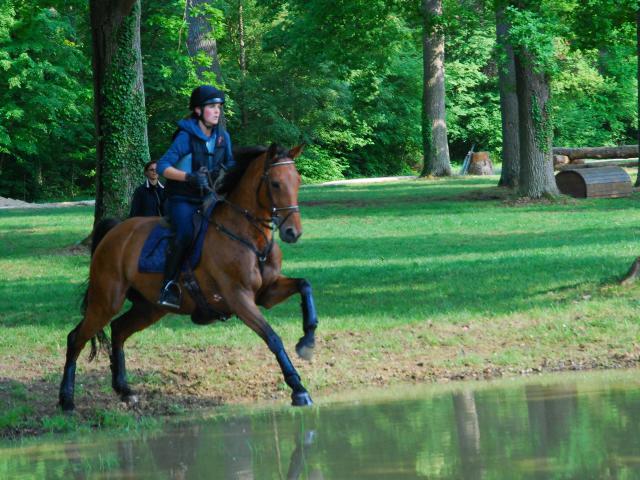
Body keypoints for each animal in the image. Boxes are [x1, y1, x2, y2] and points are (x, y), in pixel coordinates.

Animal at [58, 143, 317, 411]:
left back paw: (124, 389)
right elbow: (272, 337)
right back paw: (67, 399)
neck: (248, 236)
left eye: (297, 181)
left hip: (150, 308)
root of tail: (115, 231)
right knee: (76, 338)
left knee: (118, 329)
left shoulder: (267, 292)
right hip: (107, 301)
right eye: (275, 183)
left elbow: (304, 285)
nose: (293, 232)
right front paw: (298, 389)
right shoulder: (239, 298)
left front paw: (307, 341)